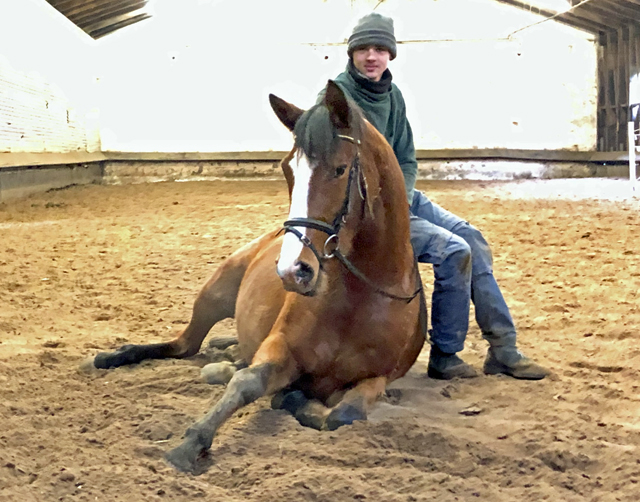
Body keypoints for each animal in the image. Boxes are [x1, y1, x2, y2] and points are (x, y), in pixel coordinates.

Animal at [90, 80, 428, 472]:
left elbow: (344, 415)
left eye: (341, 169)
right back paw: (114, 357)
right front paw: (189, 444)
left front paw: (295, 400)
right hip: (214, 295)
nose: (293, 270)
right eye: (287, 169)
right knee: (184, 345)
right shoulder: (281, 345)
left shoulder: (377, 378)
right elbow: (249, 382)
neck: (361, 296)